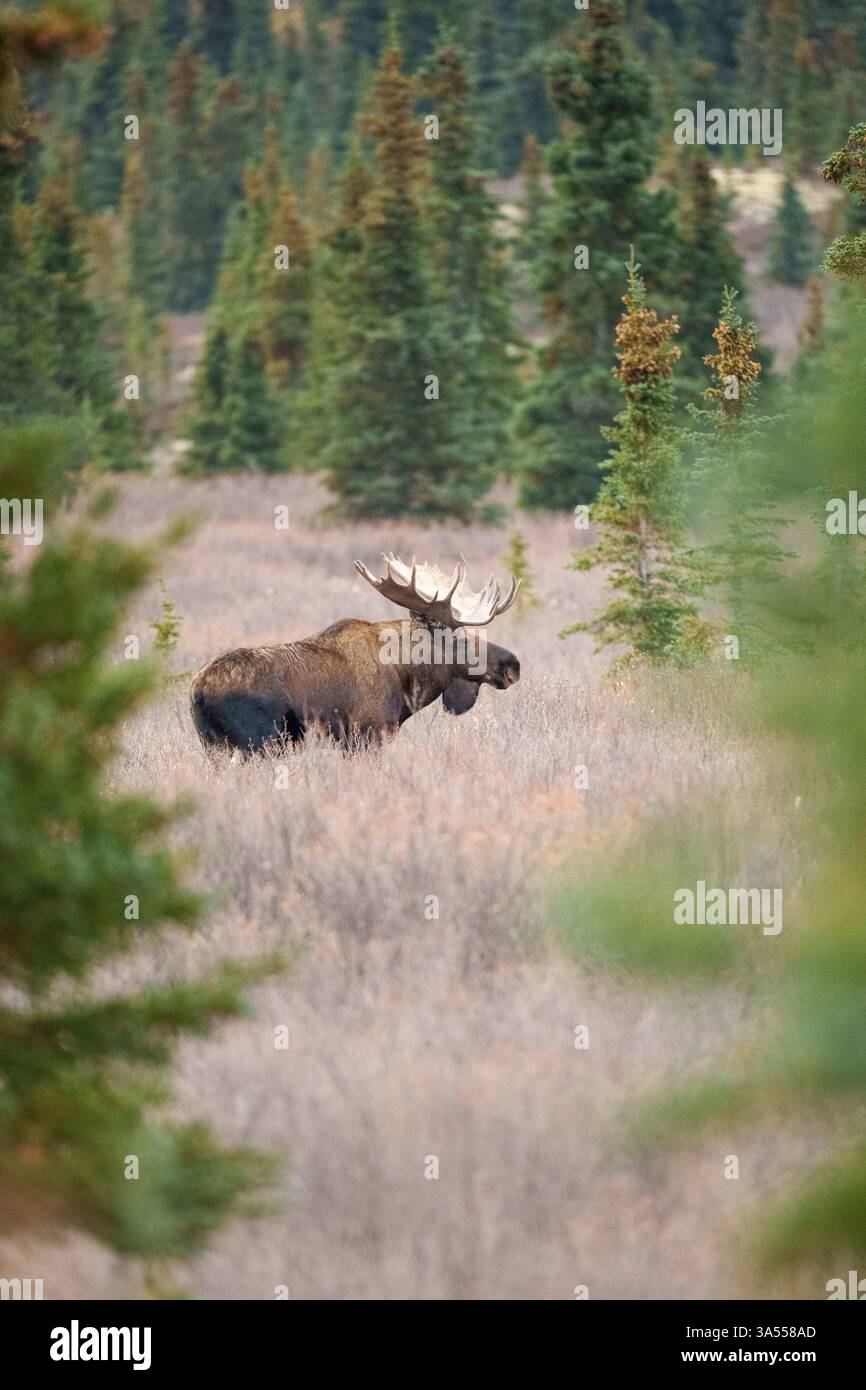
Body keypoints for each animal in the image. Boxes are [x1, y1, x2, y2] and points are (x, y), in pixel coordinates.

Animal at [190, 554, 521, 754]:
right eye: (457, 638)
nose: (512, 665)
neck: (407, 676)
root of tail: (198, 691)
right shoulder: (368, 732)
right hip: (261, 743)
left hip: (214, 747)